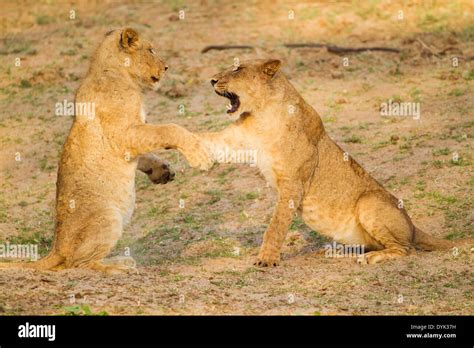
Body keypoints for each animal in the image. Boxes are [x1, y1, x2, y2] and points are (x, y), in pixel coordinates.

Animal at [0, 27, 211, 274]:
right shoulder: (124, 134)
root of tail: (56, 248)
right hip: (109, 217)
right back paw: (119, 267)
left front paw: (162, 171)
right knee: (79, 264)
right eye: (150, 50)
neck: (119, 73)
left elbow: (146, 155)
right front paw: (199, 154)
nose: (166, 67)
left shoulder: (131, 137)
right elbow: (169, 129)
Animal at [200, 59, 470, 266]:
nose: (211, 80)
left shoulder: (293, 184)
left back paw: (370, 258)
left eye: (237, 69)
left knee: (406, 249)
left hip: (370, 203)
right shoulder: (241, 140)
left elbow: (275, 226)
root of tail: (413, 225)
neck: (262, 113)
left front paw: (266, 260)